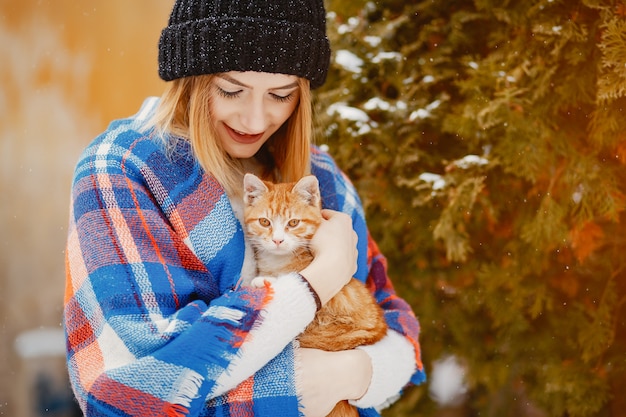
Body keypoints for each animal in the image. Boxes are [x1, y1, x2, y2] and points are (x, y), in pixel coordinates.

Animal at [243, 172, 386, 416]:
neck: (280, 261)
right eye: (264, 222)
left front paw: (267, 280)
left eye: (293, 223)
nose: (278, 240)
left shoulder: (340, 304)